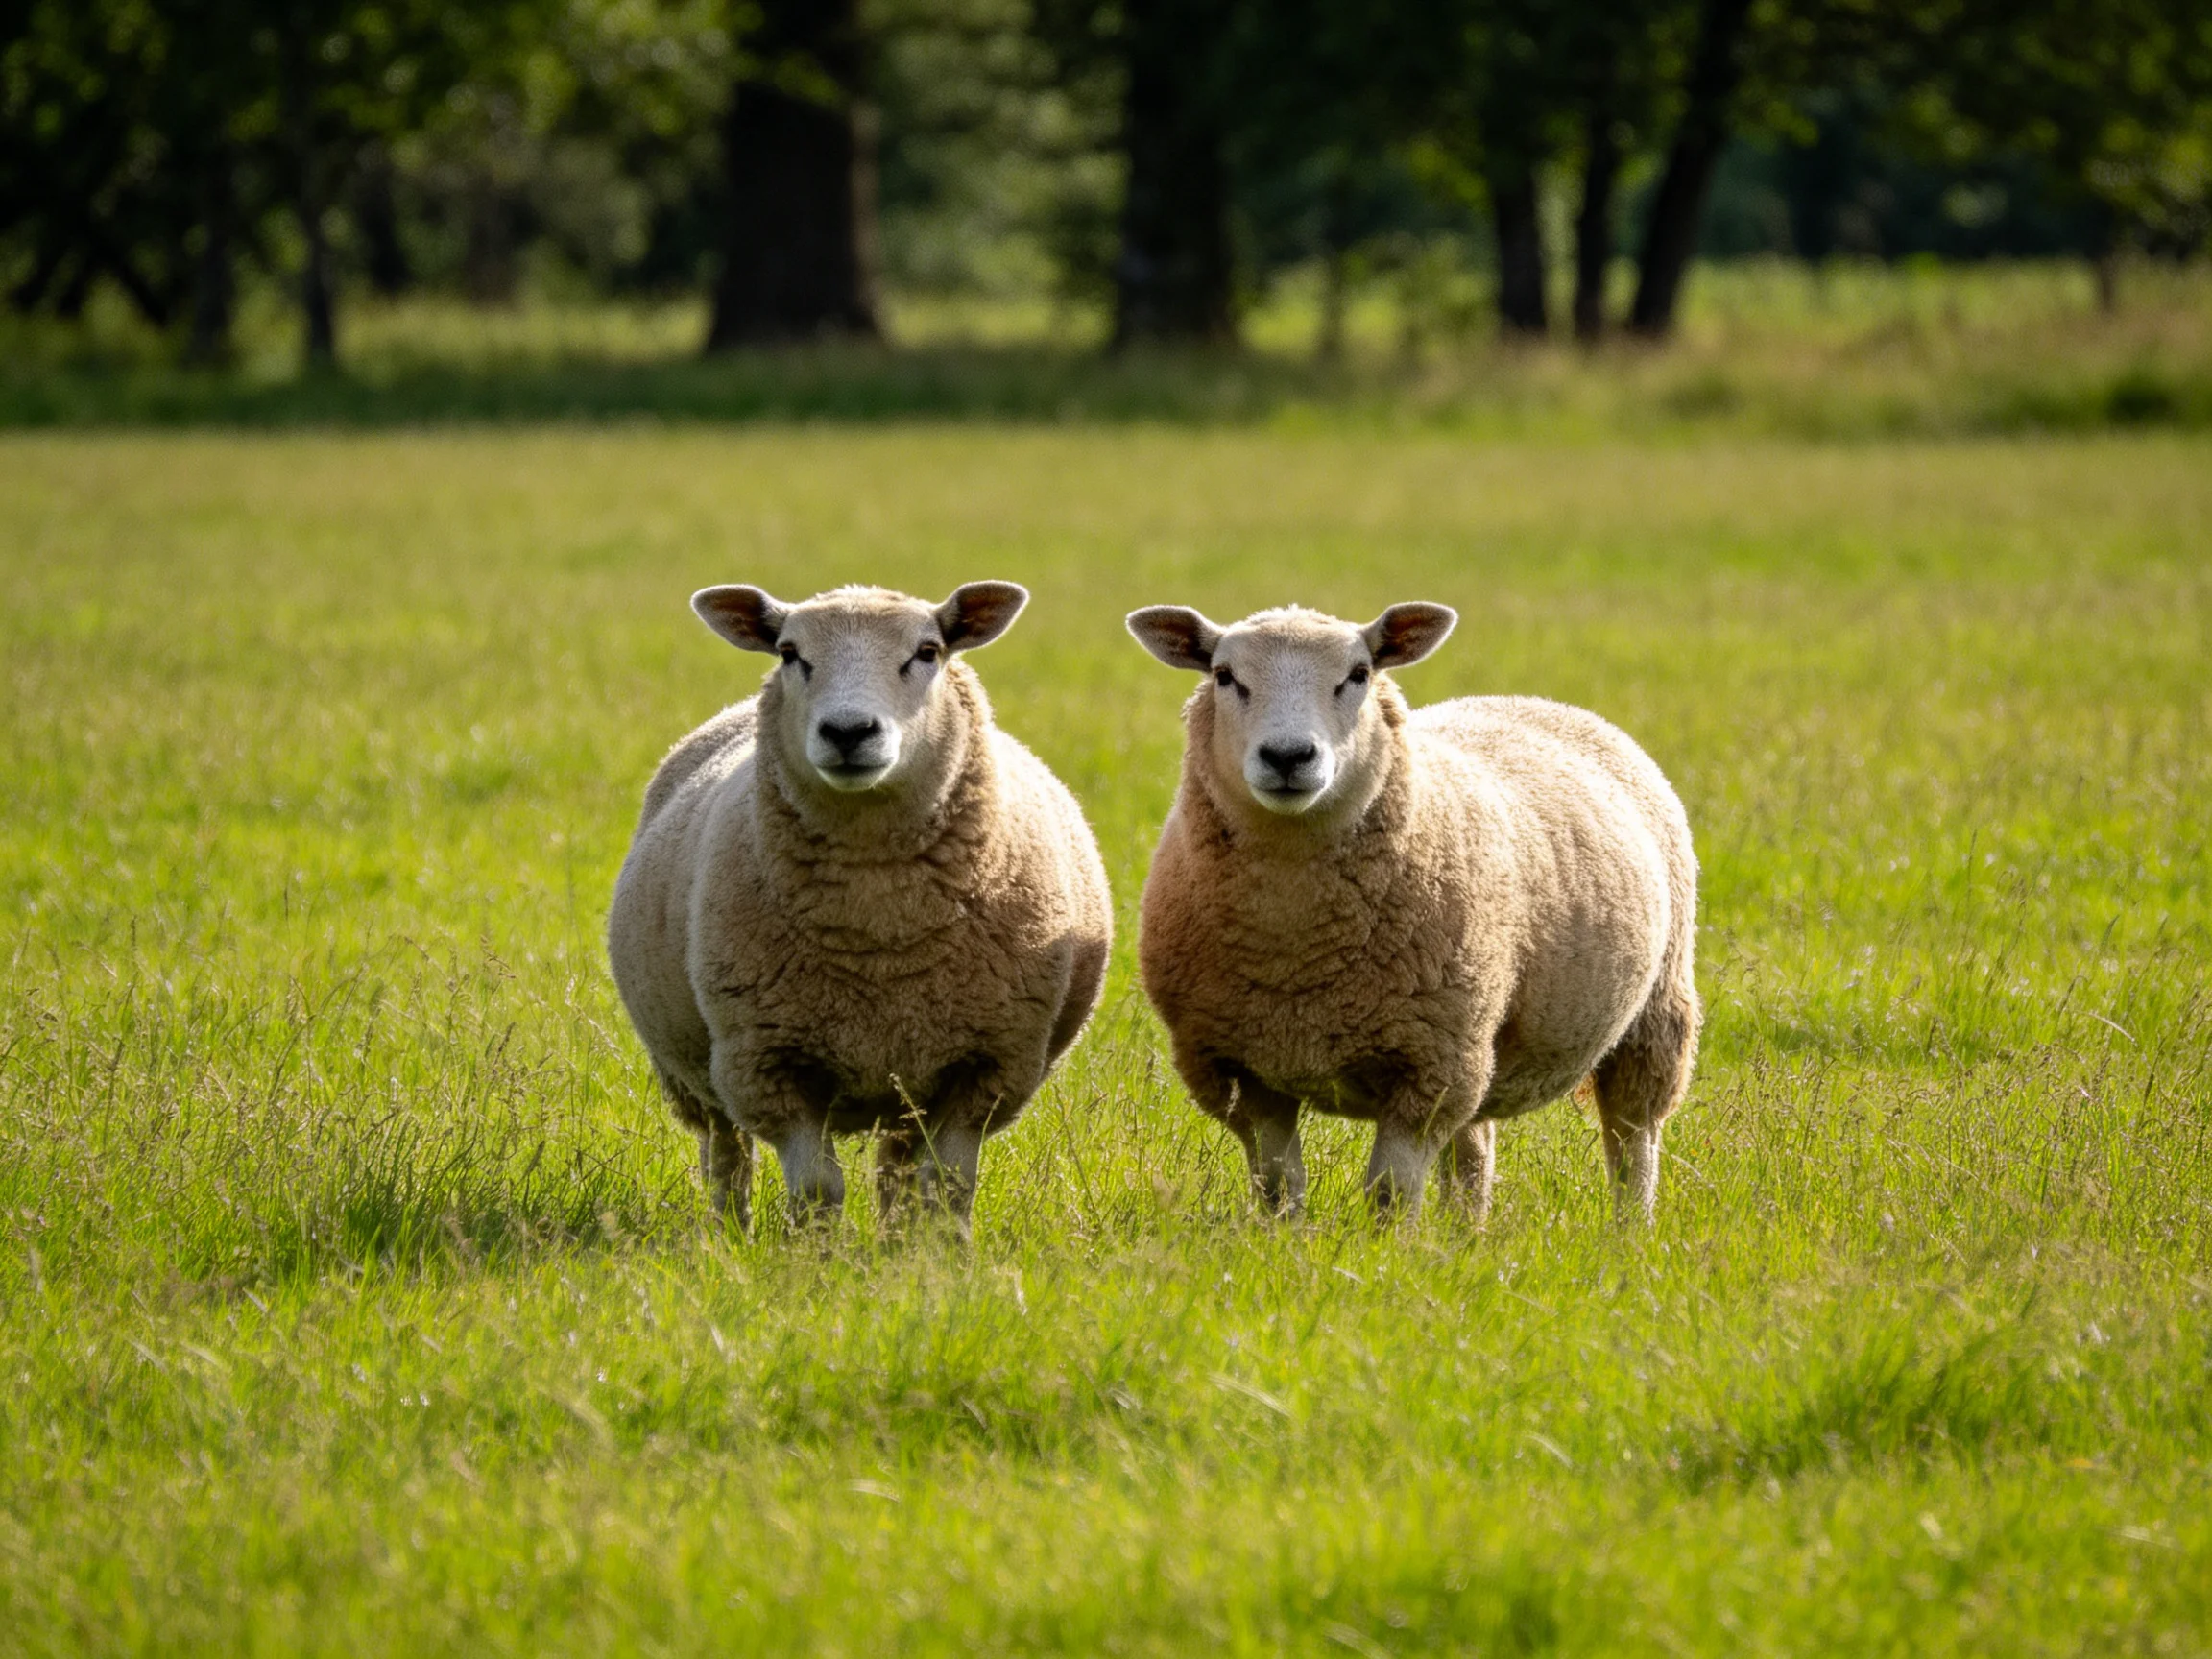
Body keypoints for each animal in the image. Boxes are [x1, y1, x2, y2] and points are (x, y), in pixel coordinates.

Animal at [608, 581, 1111, 1236]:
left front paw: (944, 1253)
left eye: (927, 651)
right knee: (725, 1155)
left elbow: (948, 1185)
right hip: (693, 1069)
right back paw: (730, 1236)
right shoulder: (767, 1064)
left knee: (897, 1169)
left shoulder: (987, 1066)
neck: (880, 925)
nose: (848, 731)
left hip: (909, 1080)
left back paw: (896, 1241)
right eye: (790, 653)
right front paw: (817, 1256)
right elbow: (817, 1190)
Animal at [1126, 601, 1700, 1225]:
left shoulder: (1430, 1066)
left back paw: (1631, 1230)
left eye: (1358, 674)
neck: (1295, 951)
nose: (1288, 756)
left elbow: (1391, 1191)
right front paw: (1284, 1241)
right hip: (1483, 1043)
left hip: (1650, 1015)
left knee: (1632, 1141)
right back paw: (1466, 1234)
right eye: (1225, 676)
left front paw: (1387, 1248)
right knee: (1474, 1149)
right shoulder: (1238, 1070)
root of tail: (1534, 701)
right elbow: (1278, 1186)